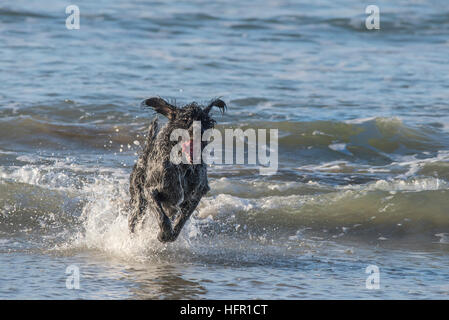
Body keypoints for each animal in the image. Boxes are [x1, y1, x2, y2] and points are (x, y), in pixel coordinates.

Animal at [129, 96, 228, 241]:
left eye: (205, 121)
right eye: (186, 120)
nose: (199, 132)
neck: (183, 166)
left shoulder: (196, 194)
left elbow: (182, 218)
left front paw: (172, 233)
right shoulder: (150, 190)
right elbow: (161, 215)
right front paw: (164, 233)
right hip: (138, 202)